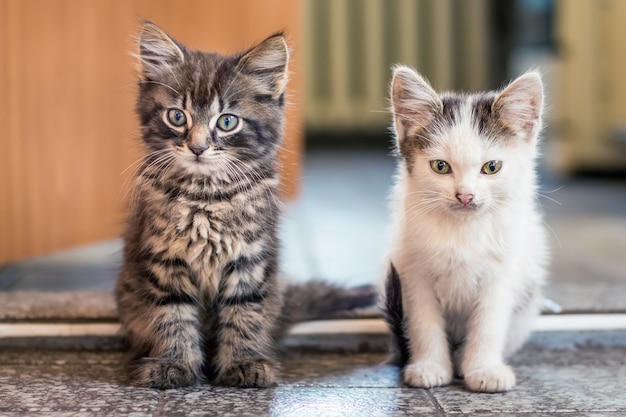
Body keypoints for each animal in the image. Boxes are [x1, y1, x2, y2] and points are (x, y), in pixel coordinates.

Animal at [116, 22, 290, 386]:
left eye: (227, 122)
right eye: (177, 117)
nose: (197, 148)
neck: (205, 195)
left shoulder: (249, 258)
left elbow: (244, 314)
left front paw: (244, 363)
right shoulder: (165, 258)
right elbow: (173, 315)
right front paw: (175, 364)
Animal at [382, 66, 548, 392]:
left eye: (492, 167)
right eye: (440, 167)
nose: (465, 196)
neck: (463, 229)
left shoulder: (501, 275)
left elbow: (489, 324)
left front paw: (484, 369)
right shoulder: (413, 272)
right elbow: (424, 322)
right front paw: (430, 366)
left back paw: (462, 361)